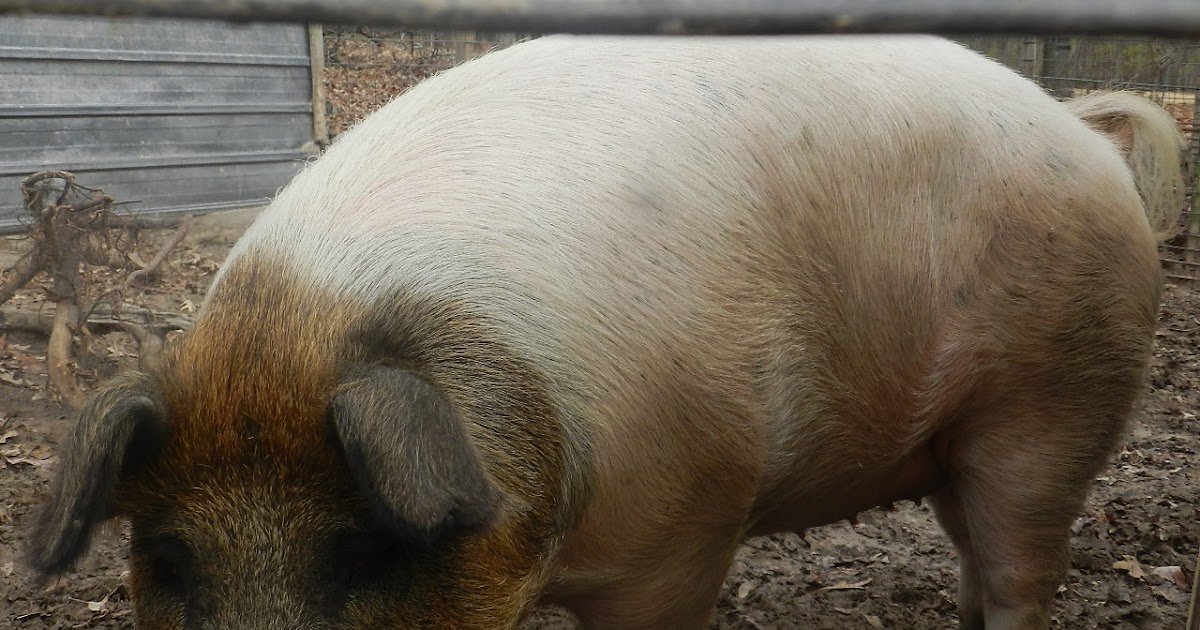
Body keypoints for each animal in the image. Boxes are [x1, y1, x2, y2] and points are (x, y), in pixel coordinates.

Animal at [26, 34, 1184, 630]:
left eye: (360, 551)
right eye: (168, 557)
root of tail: (1080, 128)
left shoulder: (685, 526)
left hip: (1059, 399)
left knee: (1024, 566)